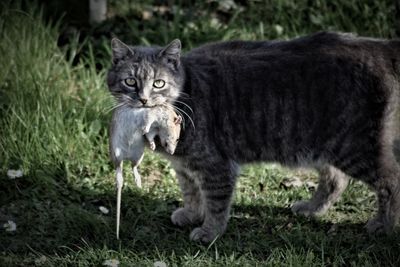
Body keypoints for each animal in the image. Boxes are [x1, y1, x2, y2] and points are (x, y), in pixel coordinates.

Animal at [109, 103, 181, 240]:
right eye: (177, 139)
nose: (171, 153)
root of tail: (126, 156)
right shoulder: (152, 114)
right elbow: (148, 121)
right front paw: (143, 129)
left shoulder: (154, 130)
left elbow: (150, 135)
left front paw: (152, 145)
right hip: (115, 150)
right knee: (119, 170)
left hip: (138, 156)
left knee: (133, 167)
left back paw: (138, 182)